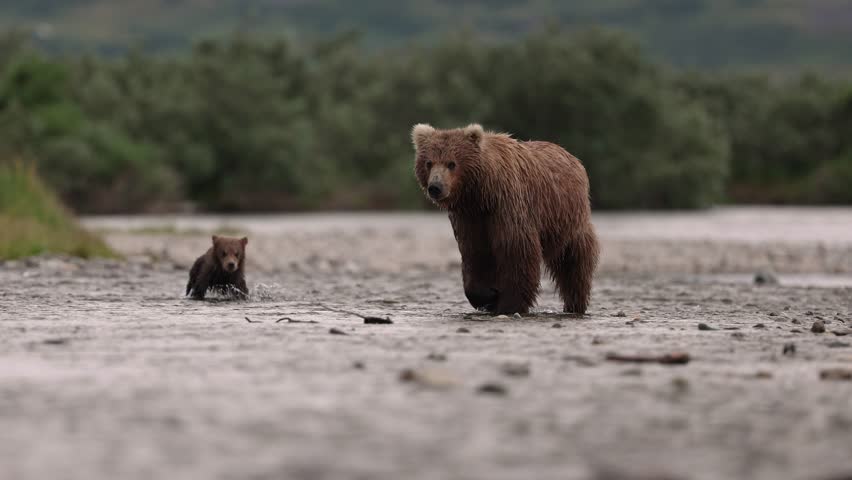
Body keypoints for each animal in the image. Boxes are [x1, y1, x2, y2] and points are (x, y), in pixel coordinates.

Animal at [412, 123, 599, 315]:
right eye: (429, 162)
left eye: (451, 163)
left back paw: (574, 304)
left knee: (574, 262)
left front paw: (509, 304)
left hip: (566, 218)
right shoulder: (470, 219)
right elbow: (475, 254)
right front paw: (487, 296)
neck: (481, 194)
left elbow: (517, 251)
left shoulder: (508, 206)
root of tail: (572, 157)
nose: (435, 187)